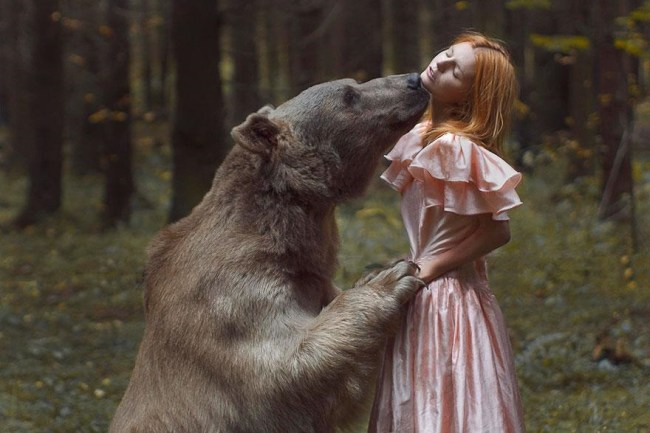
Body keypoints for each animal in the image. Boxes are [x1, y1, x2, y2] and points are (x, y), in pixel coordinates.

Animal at [109, 73, 430, 433]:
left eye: (352, 84)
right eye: (348, 95)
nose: (413, 81)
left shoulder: (310, 278)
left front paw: (376, 271)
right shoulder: (229, 298)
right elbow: (283, 371)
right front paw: (392, 277)